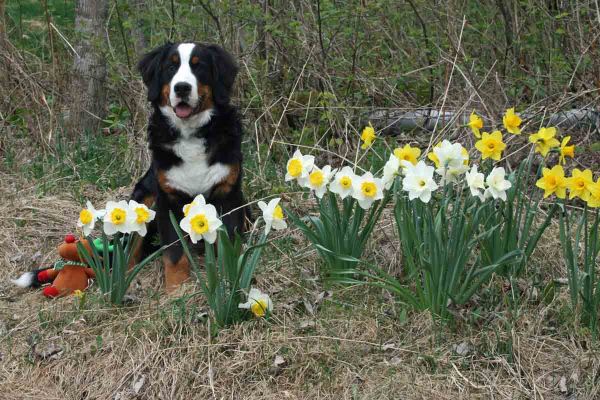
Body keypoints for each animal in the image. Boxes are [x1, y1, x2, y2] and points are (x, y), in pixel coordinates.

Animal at [132, 42, 247, 292]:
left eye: (199, 66)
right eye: (171, 67)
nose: (182, 88)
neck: (191, 134)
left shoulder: (228, 194)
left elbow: (228, 244)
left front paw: (229, 278)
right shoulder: (168, 199)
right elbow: (174, 252)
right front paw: (177, 290)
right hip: (144, 197)